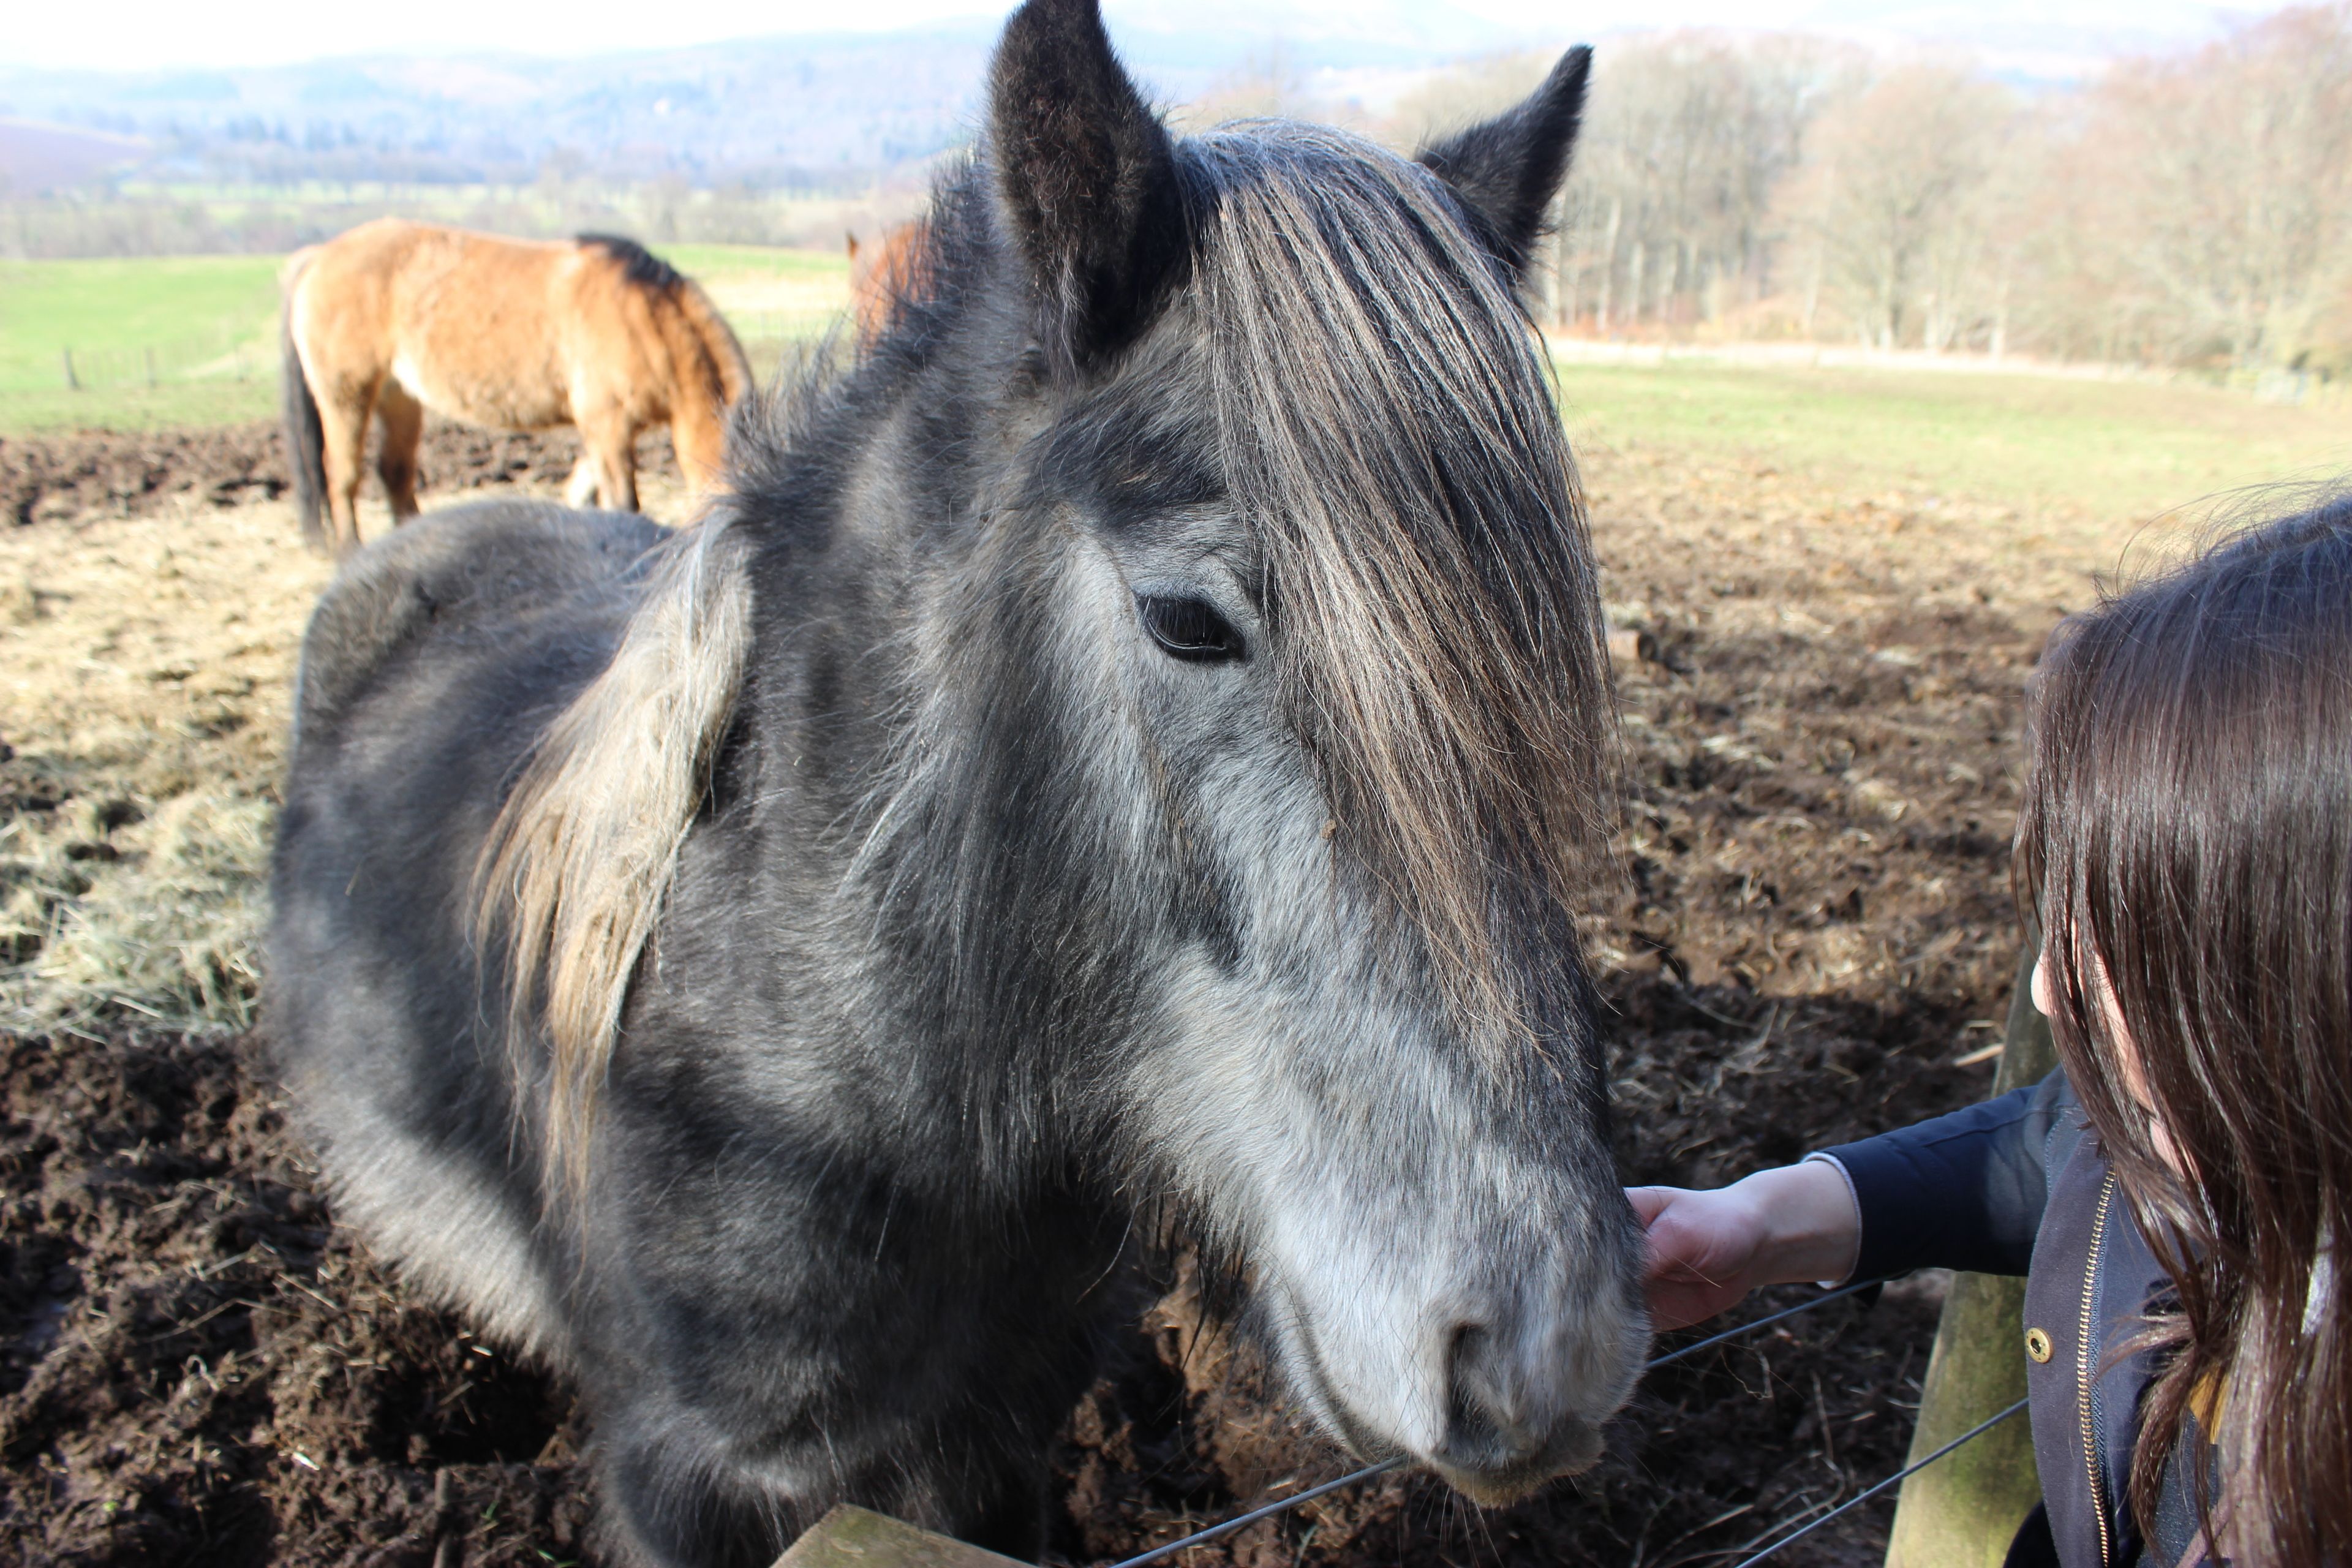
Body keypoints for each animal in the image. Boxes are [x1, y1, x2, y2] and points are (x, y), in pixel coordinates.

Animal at [279, 220, 751, 555]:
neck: (645, 316)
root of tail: (318, 257)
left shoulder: (601, 433)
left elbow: (581, 490)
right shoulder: (607, 426)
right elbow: (622, 503)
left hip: (399, 399)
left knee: (394, 473)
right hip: (347, 395)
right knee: (342, 474)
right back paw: (348, 551)